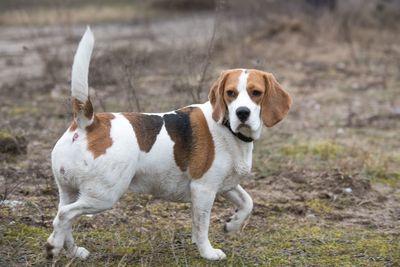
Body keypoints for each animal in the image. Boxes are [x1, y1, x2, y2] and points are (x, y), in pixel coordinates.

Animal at [47, 27, 292, 262]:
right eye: (230, 93)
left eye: (256, 93)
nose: (242, 113)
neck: (228, 129)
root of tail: (89, 122)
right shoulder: (203, 189)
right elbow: (201, 226)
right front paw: (207, 252)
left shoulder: (225, 184)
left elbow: (247, 202)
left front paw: (232, 224)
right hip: (104, 195)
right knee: (64, 216)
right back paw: (52, 246)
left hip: (70, 190)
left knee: (64, 217)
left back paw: (73, 251)